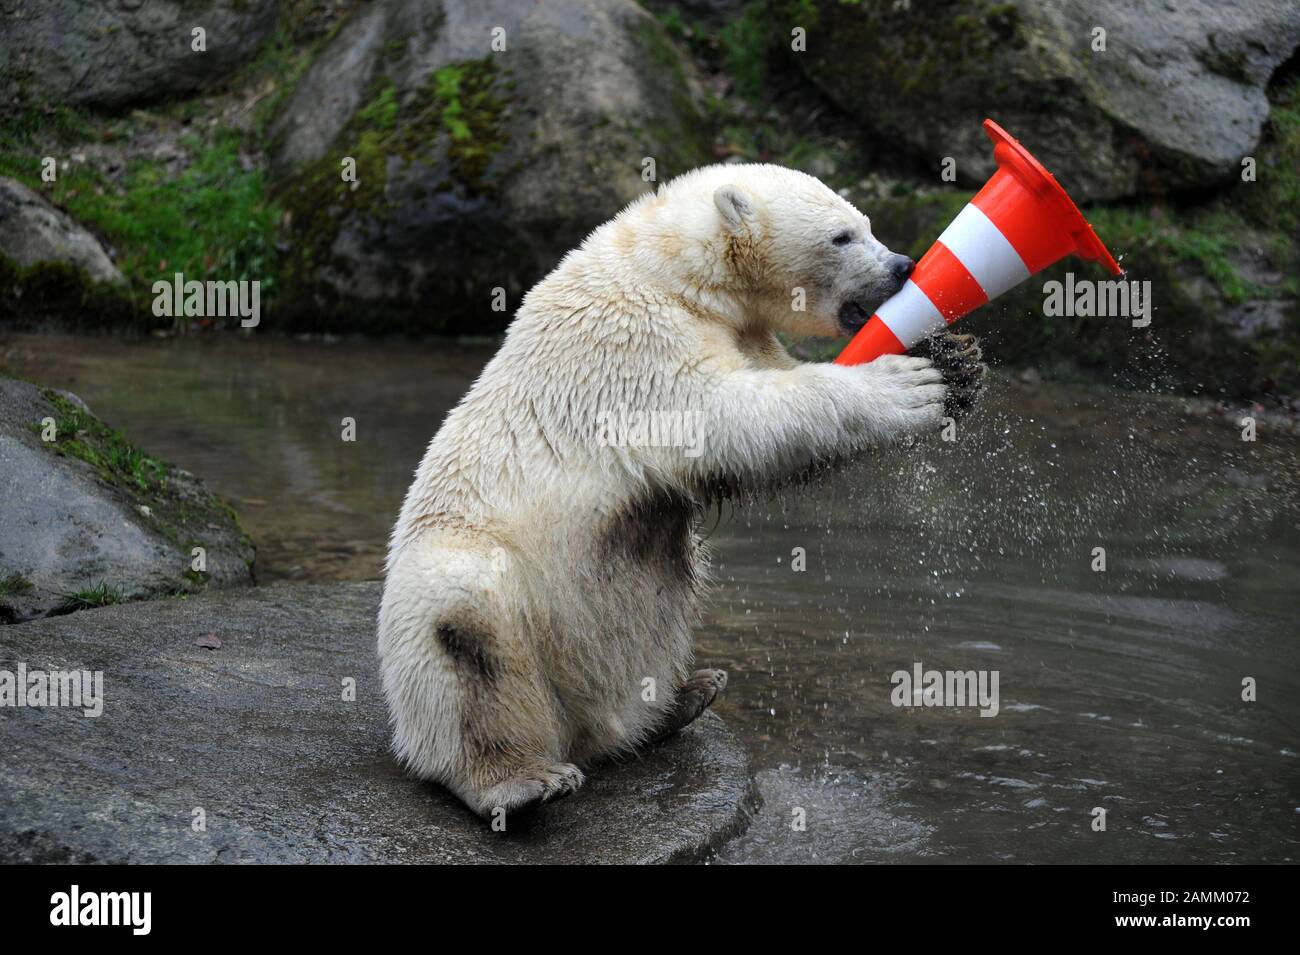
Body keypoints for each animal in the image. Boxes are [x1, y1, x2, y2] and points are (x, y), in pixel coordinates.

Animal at [379, 160, 982, 815]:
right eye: (842, 235)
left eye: (868, 223)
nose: (903, 265)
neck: (670, 269)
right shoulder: (635, 344)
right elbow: (729, 417)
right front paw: (907, 387)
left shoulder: (738, 331)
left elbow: (773, 394)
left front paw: (957, 362)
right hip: (461, 587)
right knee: (467, 623)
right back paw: (519, 780)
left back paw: (682, 696)